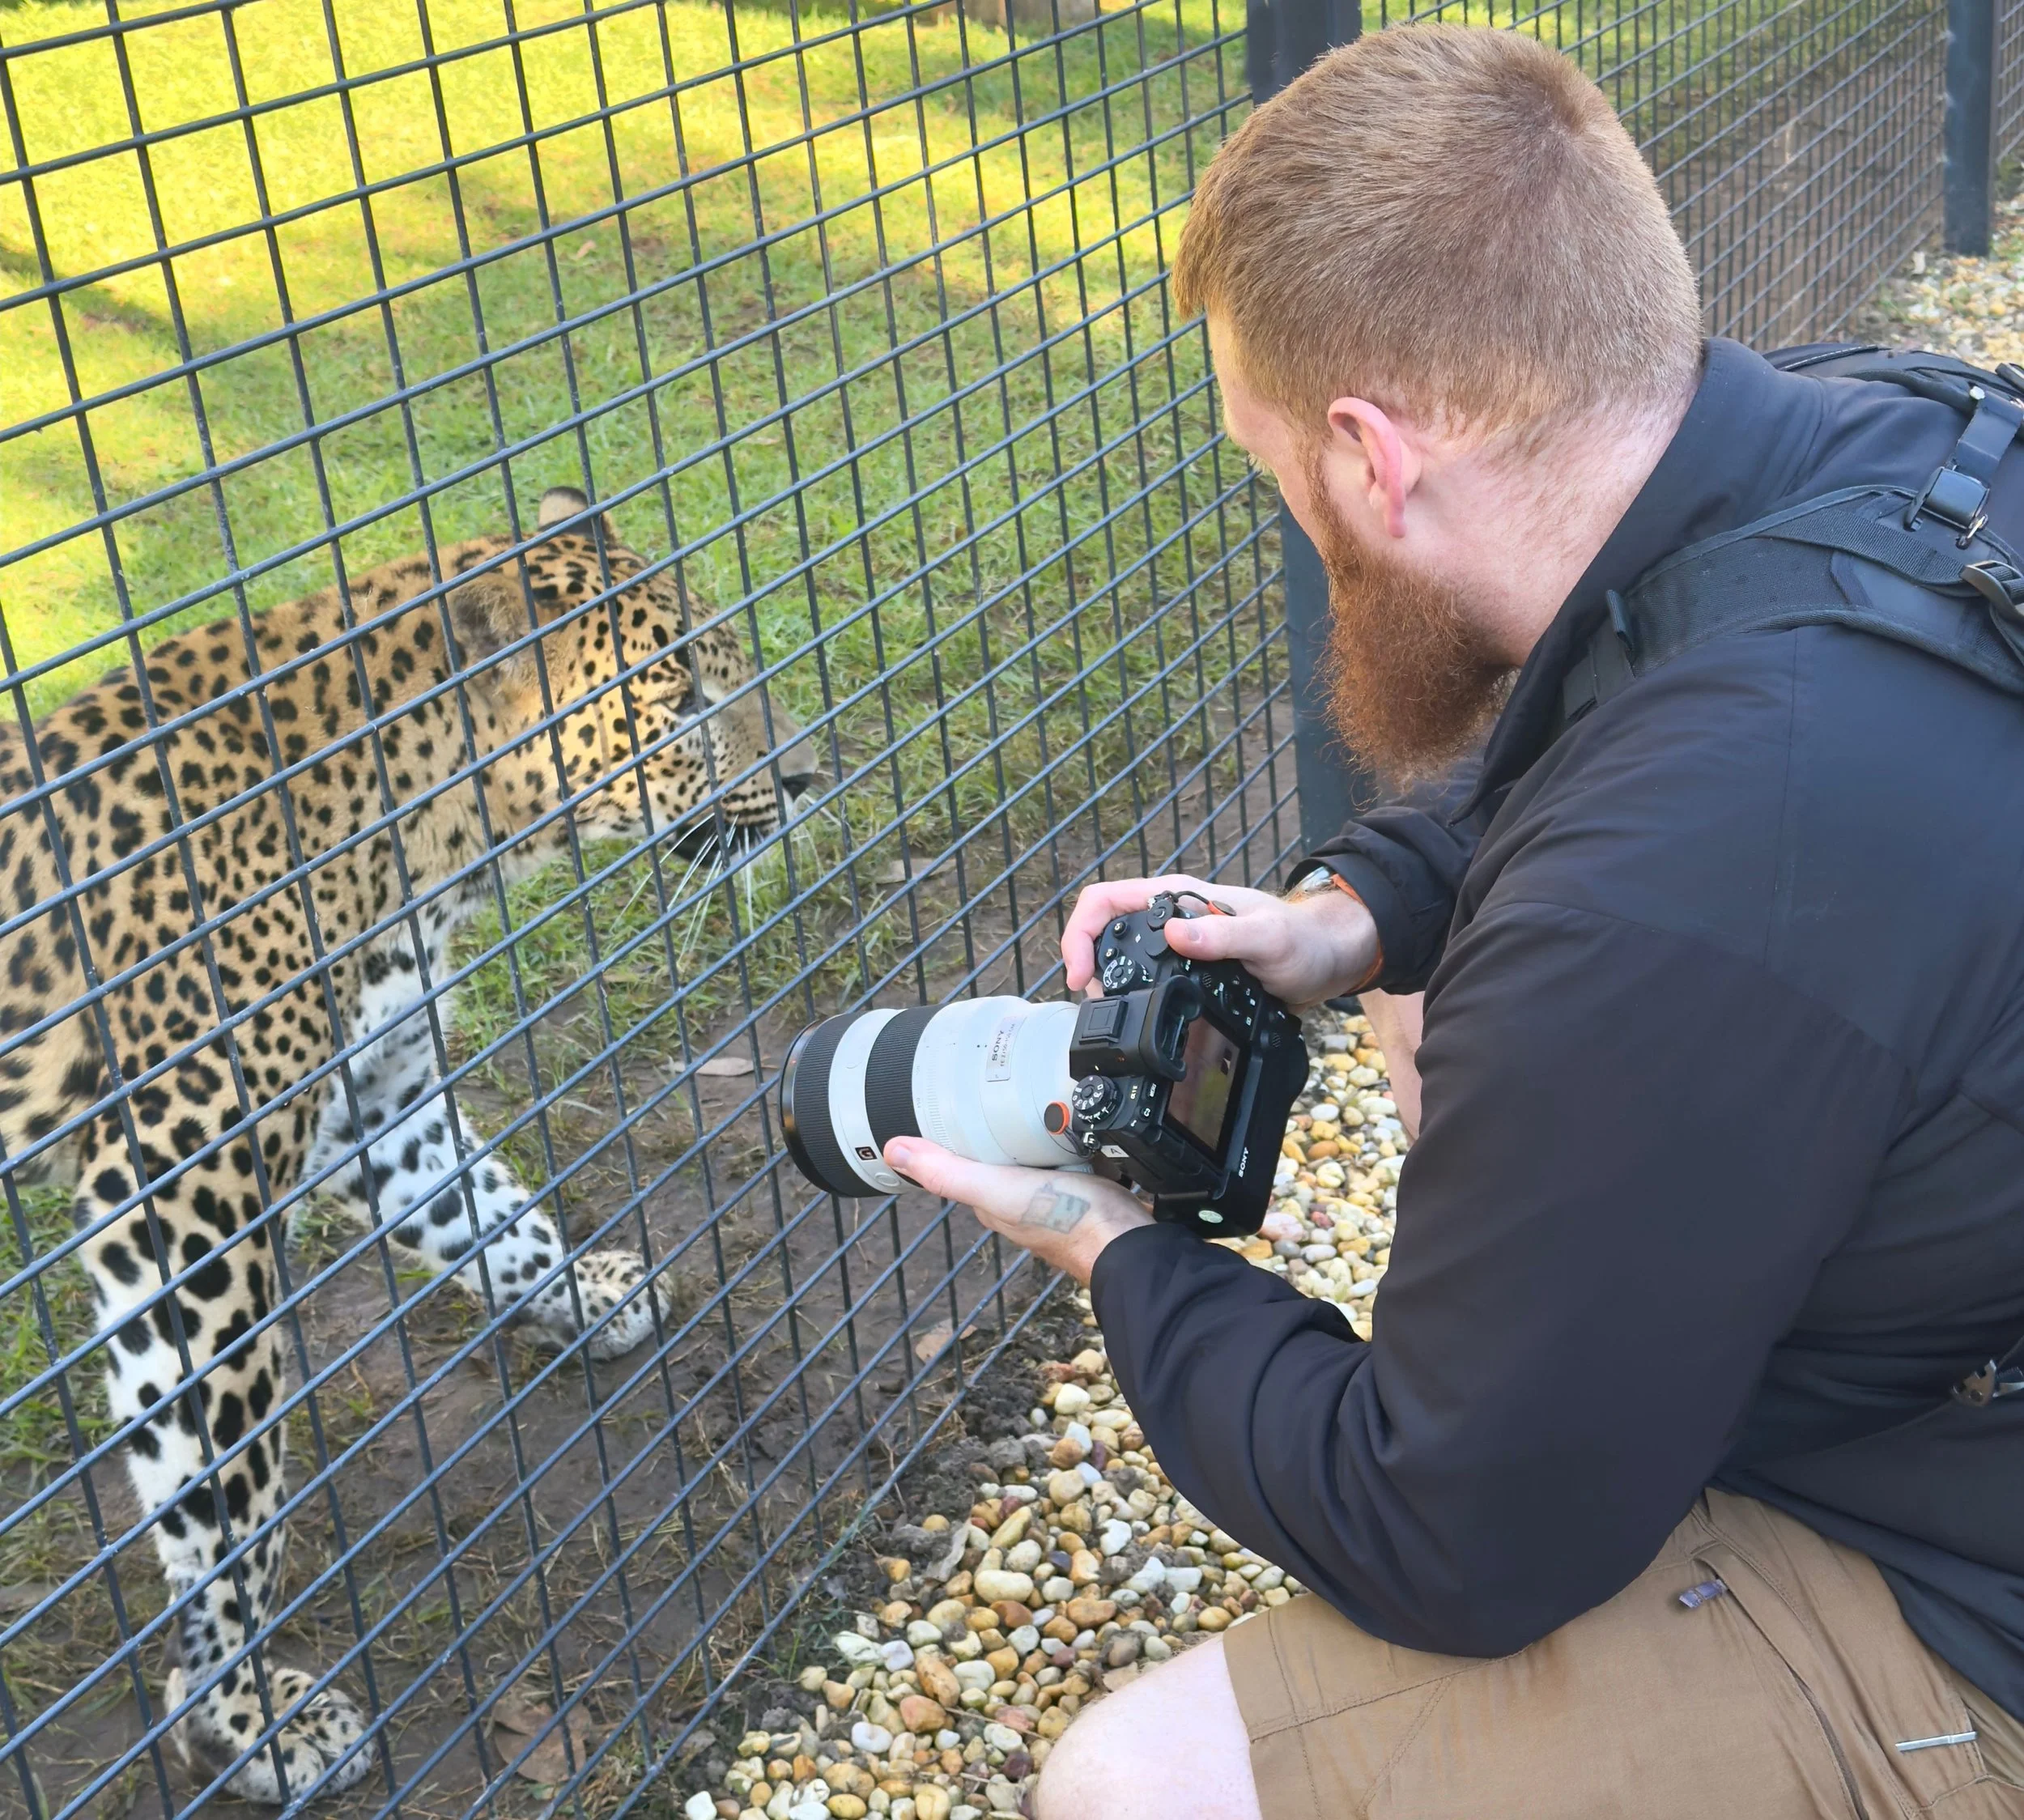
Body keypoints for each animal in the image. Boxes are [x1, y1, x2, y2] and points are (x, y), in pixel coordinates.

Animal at [1, 487, 814, 1803]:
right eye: (681, 690)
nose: (807, 775)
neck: (428, 834)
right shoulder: (186, 1190)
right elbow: (220, 1489)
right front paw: (240, 1716)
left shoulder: (375, 1097)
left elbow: (484, 1205)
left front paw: (586, 1292)